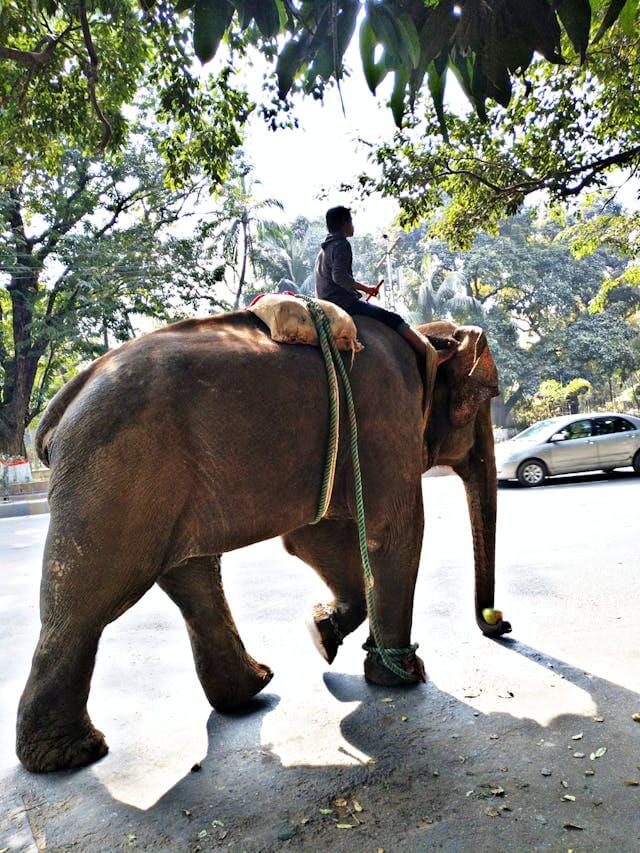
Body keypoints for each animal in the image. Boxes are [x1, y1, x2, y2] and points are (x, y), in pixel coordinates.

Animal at [15, 312, 510, 772]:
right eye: (485, 399)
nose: (499, 624)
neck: (423, 341)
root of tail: (66, 399)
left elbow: (315, 536)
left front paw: (321, 633)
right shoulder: (387, 419)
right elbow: (394, 530)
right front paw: (403, 677)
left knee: (191, 577)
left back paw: (252, 687)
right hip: (118, 473)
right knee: (88, 600)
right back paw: (72, 755)